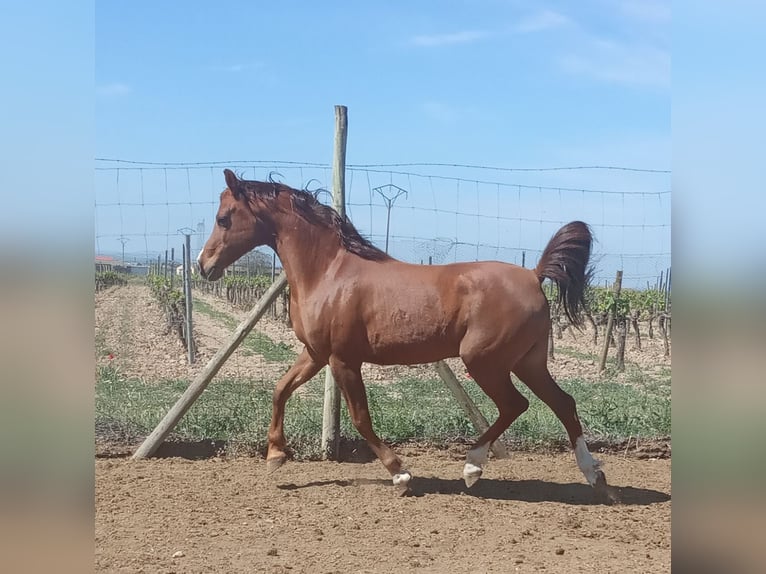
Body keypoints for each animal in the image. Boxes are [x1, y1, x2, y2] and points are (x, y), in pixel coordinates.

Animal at [198, 169, 608, 497]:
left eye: (223, 218)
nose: (204, 265)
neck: (328, 272)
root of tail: (534, 275)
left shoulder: (343, 360)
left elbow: (361, 418)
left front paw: (400, 474)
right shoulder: (315, 354)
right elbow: (280, 389)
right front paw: (275, 456)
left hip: (486, 361)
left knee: (516, 405)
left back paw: (473, 466)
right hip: (528, 361)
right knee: (563, 403)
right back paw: (593, 475)